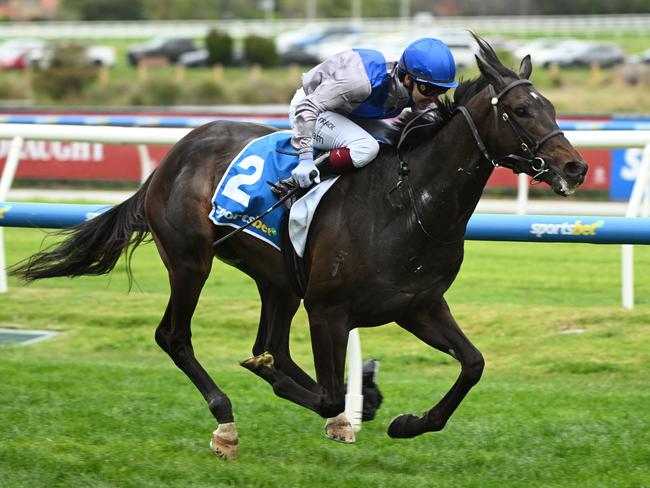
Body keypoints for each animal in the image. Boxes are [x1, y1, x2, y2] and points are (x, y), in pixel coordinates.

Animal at [10, 36, 588, 460]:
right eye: (520, 109)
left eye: (551, 106)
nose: (575, 166)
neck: (408, 203)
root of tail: (171, 156)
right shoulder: (328, 308)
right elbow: (327, 392)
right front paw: (342, 411)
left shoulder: (418, 305)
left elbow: (473, 364)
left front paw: (405, 421)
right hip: (191, 261)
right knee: (174, 336)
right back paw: (226, 420)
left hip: (278, 280)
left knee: (274, 344)